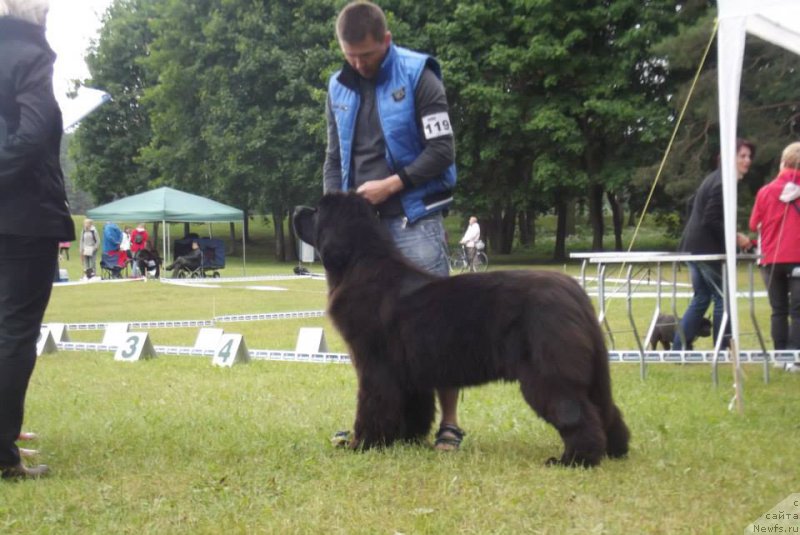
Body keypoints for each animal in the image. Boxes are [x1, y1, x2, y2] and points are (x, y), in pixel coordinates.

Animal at [294, 193, 632, 464]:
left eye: (317, 210)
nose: (296, 208)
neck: (358, 263)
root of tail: (574, 291)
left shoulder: (375, 366)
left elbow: (372, 406)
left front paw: (362, 444)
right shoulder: (410, 371)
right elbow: (414, 408)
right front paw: (407, 440)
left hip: (549, 372)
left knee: (576, 412)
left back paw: (575, 460)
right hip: (588, 370)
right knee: (606, 409)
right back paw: (614, 450)